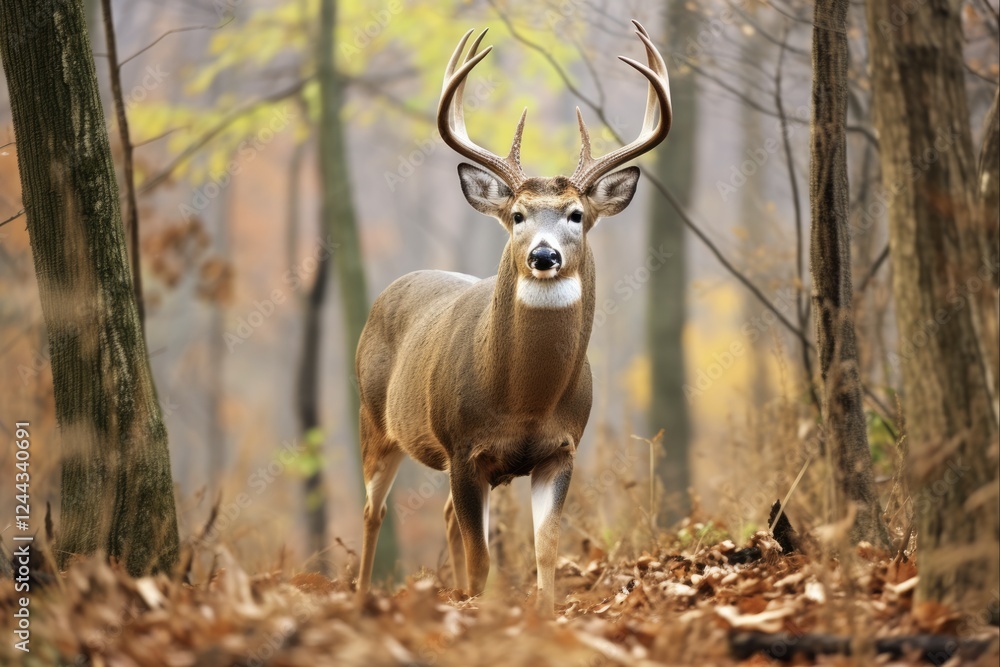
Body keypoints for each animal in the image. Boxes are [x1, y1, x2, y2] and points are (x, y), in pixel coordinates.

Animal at [355, 20, 671, 615]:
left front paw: (540, 612)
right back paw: (361, 594)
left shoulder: (561, 449)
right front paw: (477, 611)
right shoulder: (462, 446)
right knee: (373, 512)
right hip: (375, 422)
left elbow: (546, 549)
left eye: (577, 215)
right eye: (518, 215)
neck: (524, 401)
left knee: (445, 517)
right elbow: (483, 559)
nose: (544, 255)